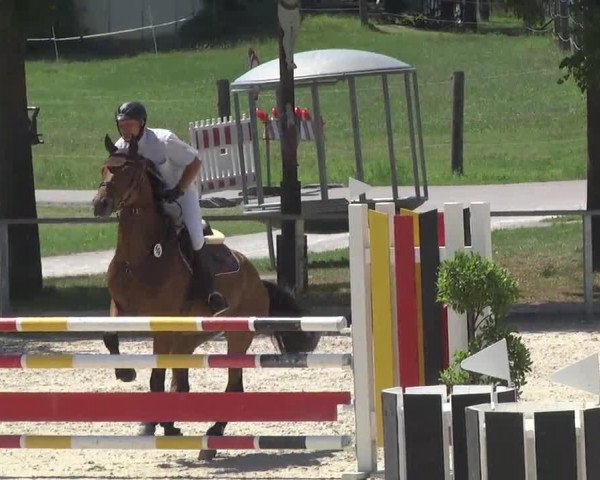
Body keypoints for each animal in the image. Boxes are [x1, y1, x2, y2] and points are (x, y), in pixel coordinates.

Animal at [92, 136, 322, 462]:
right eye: (104, 168)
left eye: (129, 173)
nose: (100, 204)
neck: (139, 257)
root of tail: (257, 280)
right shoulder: (120, 307)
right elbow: (110, 337)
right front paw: (125, 373)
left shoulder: (162, 323)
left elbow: (156, 378)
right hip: (189, 337)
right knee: (184, 383)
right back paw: (173, 425)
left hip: (237, 336)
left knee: (233, 386)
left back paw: (210, 437)